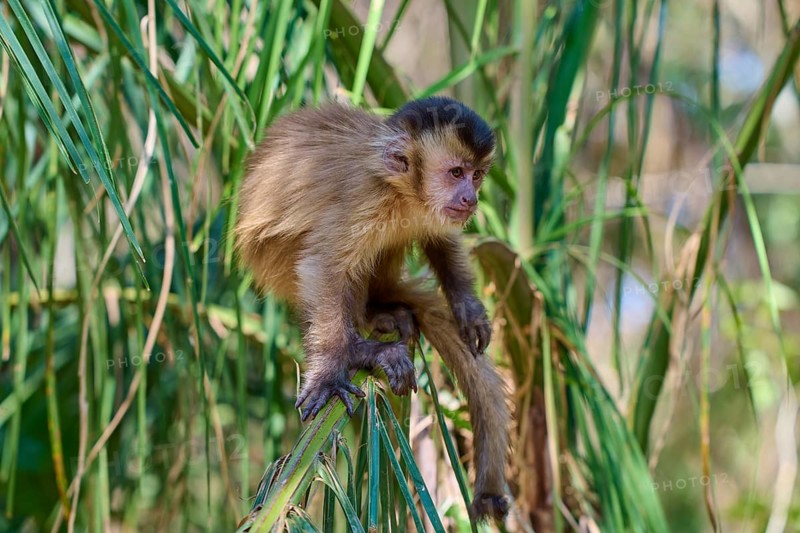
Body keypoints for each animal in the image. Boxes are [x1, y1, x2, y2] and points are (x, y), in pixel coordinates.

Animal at [235, 96, 510, 521]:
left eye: (477, 175)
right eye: (456, 173)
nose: (471, 197)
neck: (402, 192)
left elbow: (440, 238)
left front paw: (468, 308)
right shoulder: (364, 199)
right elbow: (323, 266)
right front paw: (330, 371)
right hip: (270, 261)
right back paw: (367, 343)